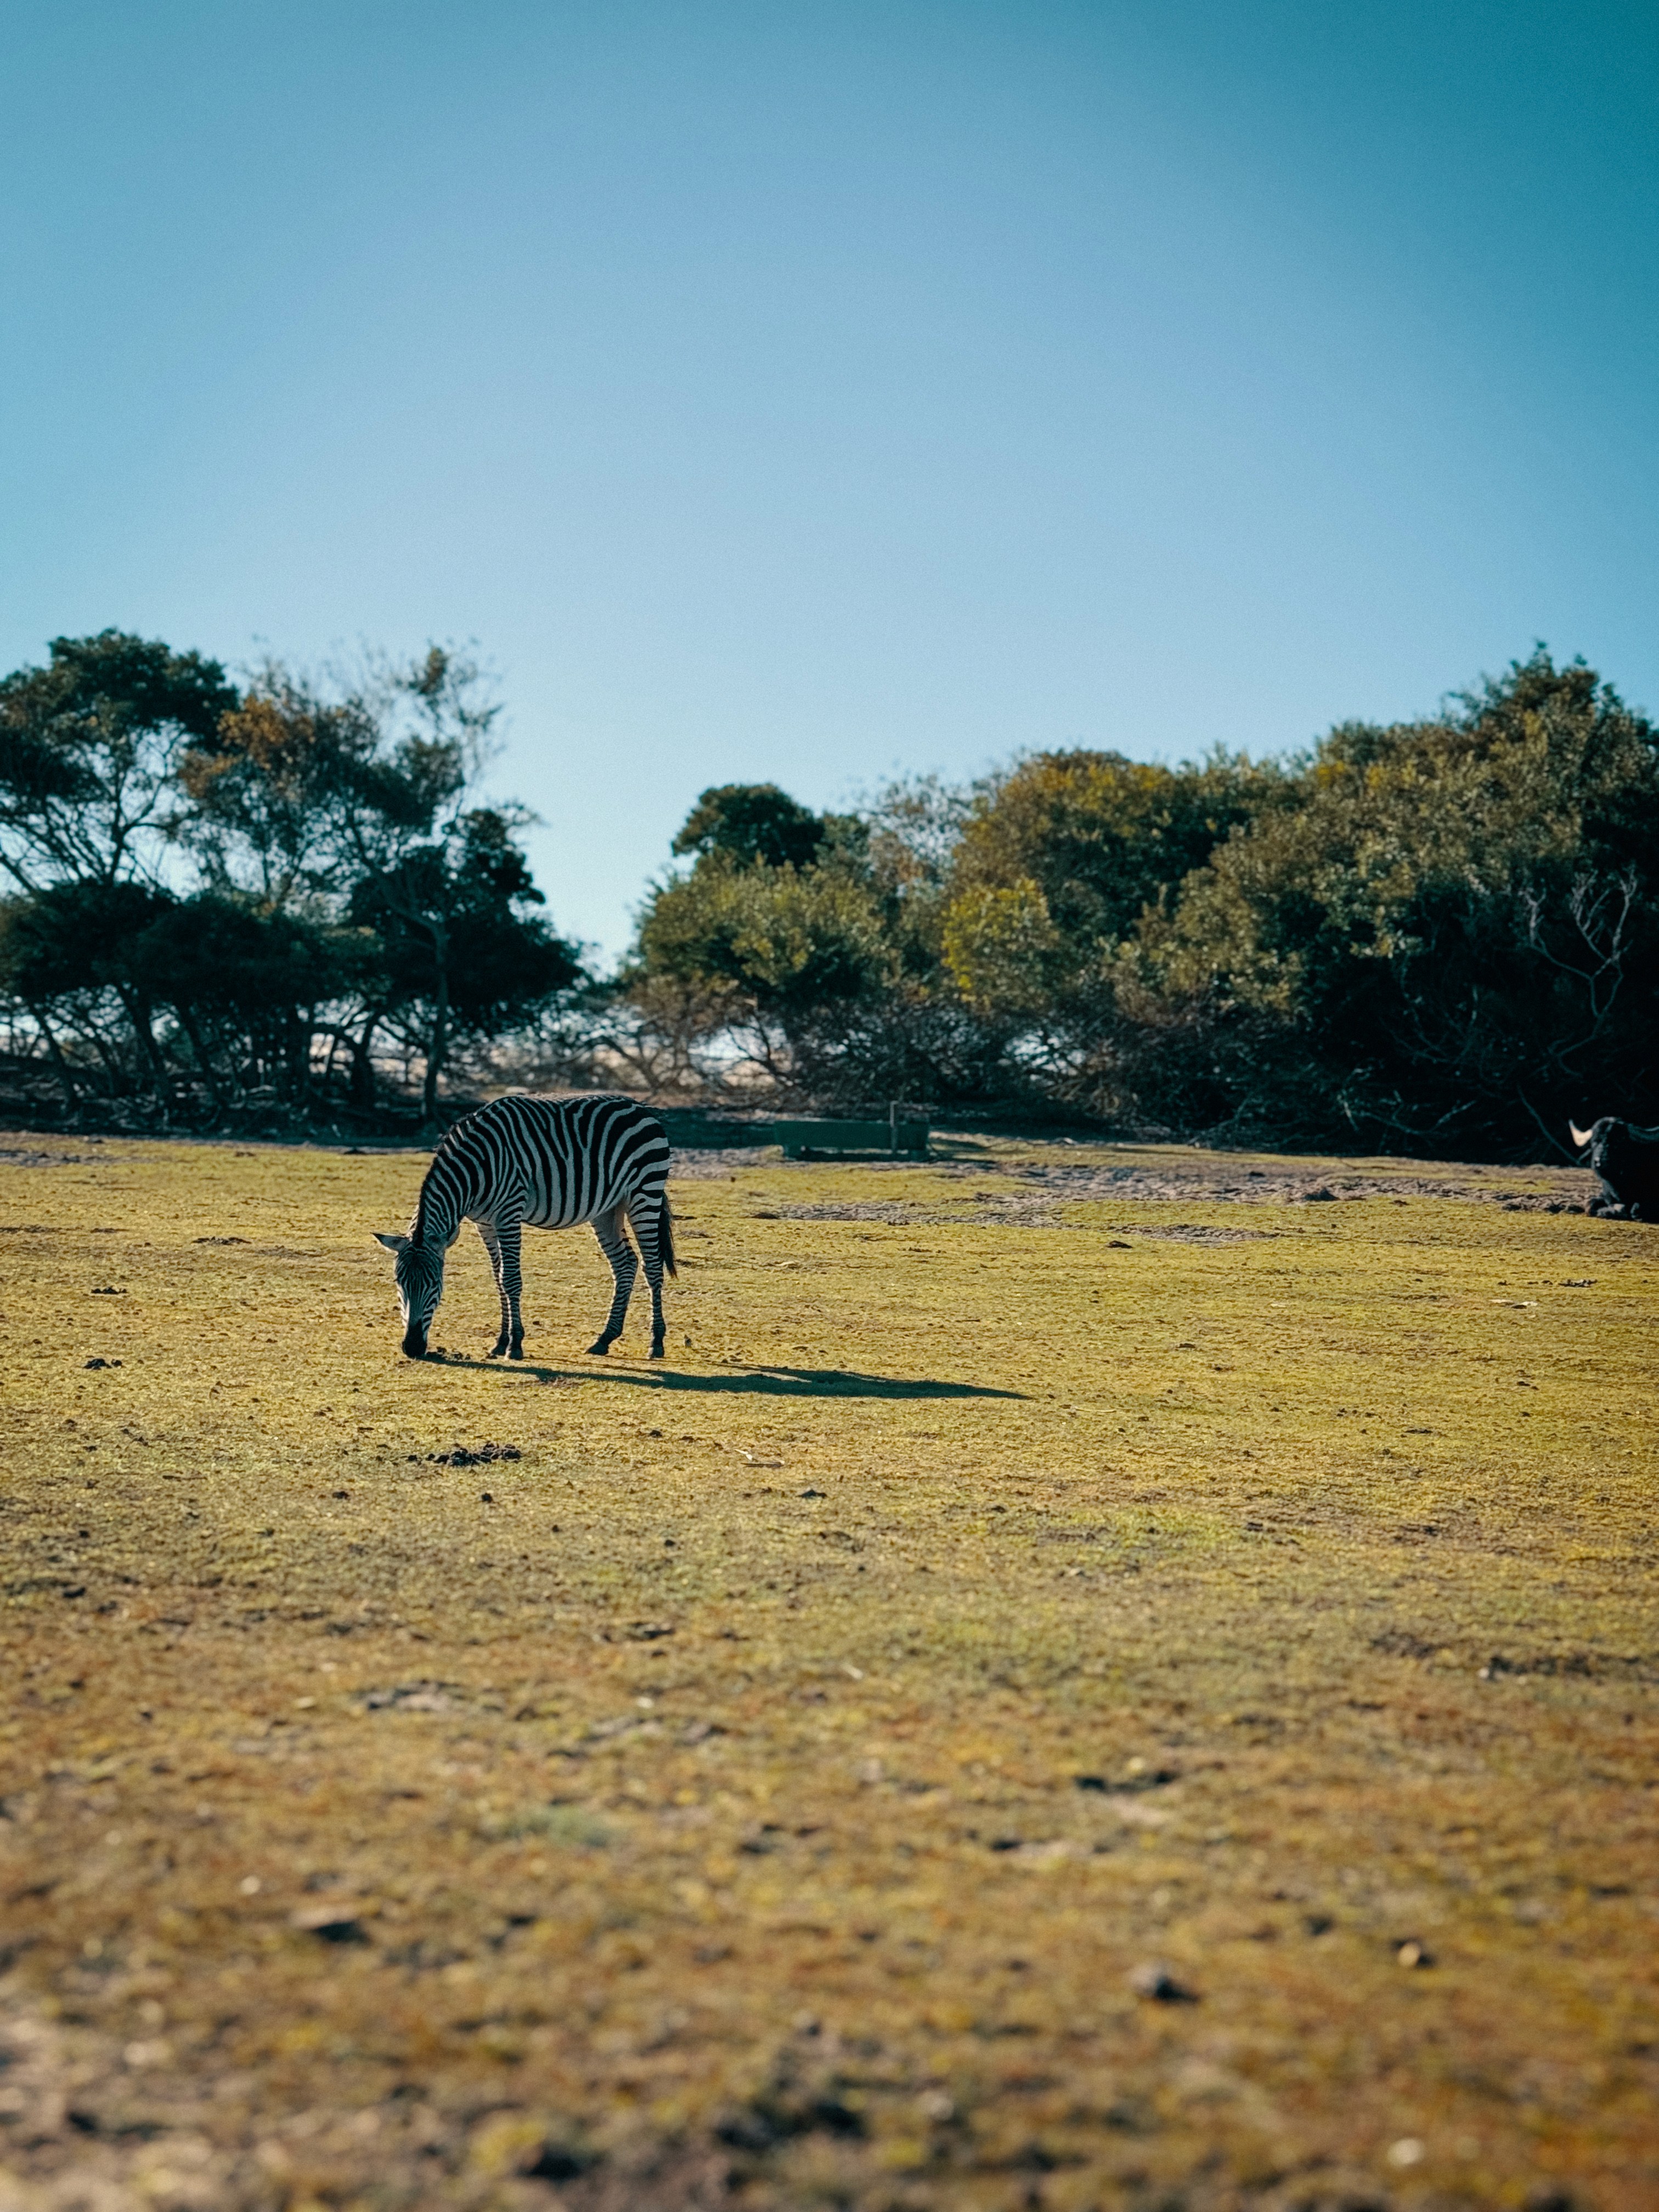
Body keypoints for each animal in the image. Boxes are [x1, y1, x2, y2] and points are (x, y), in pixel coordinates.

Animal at [374, 1094, 676, 1361]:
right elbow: (498, 1279)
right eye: (399, 1282)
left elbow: (510, 1279)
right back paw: (604, 1339)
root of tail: (643, 1109)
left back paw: (656, 1342)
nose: (412, 1348)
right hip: (607, 1208)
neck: (475, 1169)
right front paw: (500, 1342)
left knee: (652, 1266)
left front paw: (515, 1344)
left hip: (644, 1193)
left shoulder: (509, 1212)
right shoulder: (485, 1223)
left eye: (436, 1284)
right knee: (625, 1263)